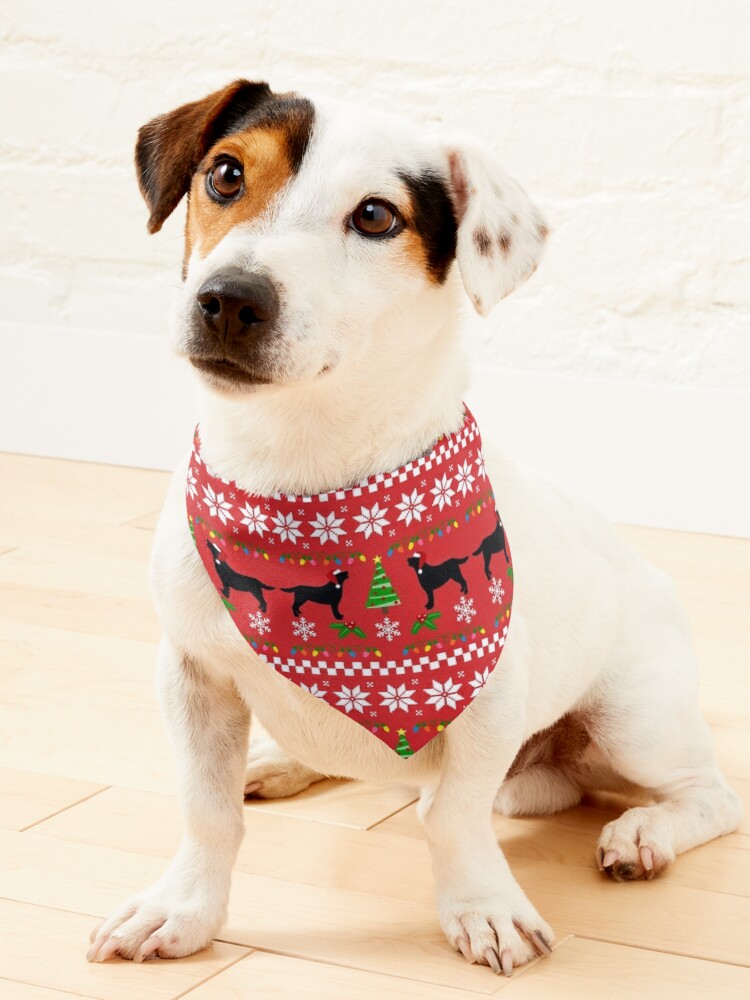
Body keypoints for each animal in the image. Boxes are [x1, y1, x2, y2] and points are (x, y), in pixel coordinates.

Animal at [86, 80, 740, 976]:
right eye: (225, 174)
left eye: (375, 216)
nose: (230, 298)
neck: (299, 468)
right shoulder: (192, 677)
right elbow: (206, 810)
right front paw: (183, 909)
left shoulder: (490, 700)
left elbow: (454, 817)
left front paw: (483, 908)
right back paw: (282, 762)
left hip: (635, 719)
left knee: (708, 796)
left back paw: (644, 833)